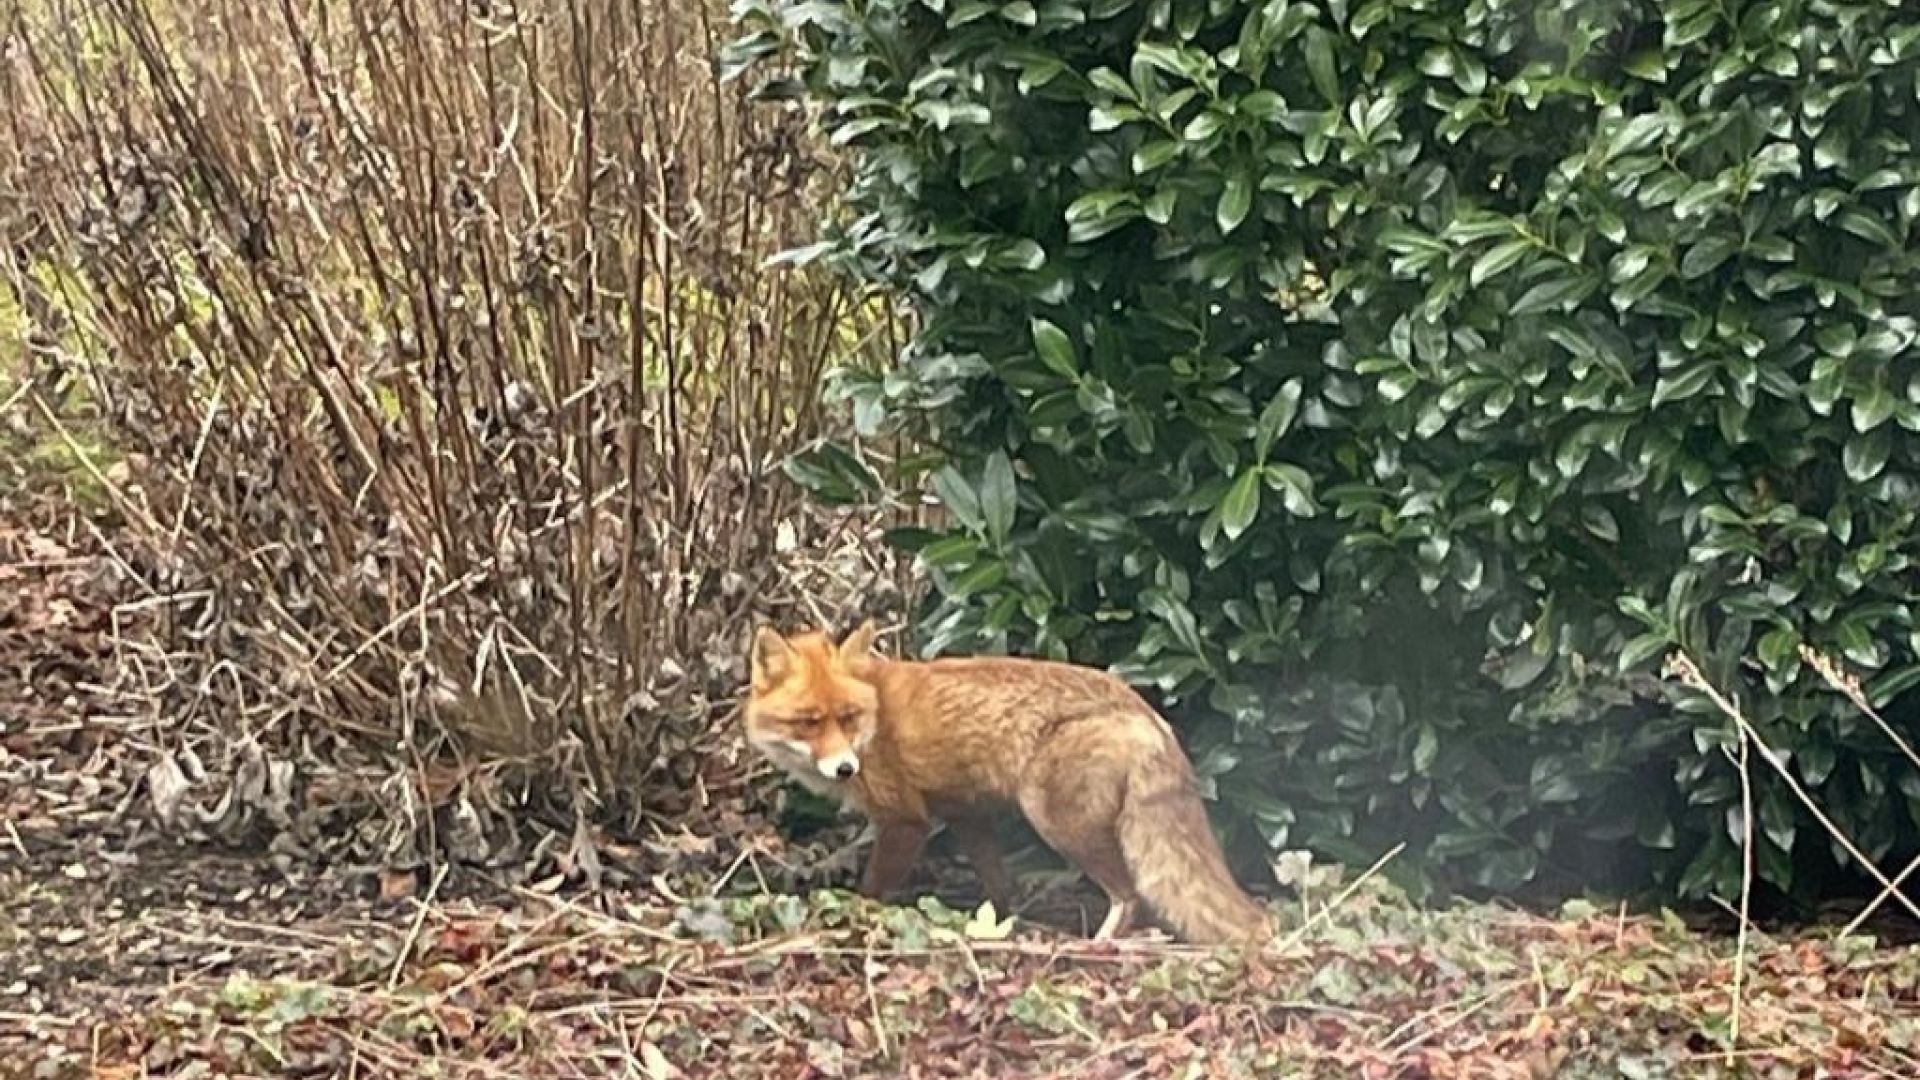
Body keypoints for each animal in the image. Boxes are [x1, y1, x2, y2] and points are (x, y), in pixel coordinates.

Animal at [741, 622, 1267, 941]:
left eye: (847, 717)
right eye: (809, 722)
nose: (845, 769)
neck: (877, 719)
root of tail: (1150, 716)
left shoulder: (906, 820)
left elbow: (873, 889)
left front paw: (854, 917)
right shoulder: (964, 810)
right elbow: (998, 883)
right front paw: (999, 922)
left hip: (1054, 818)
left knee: (1130, 895)